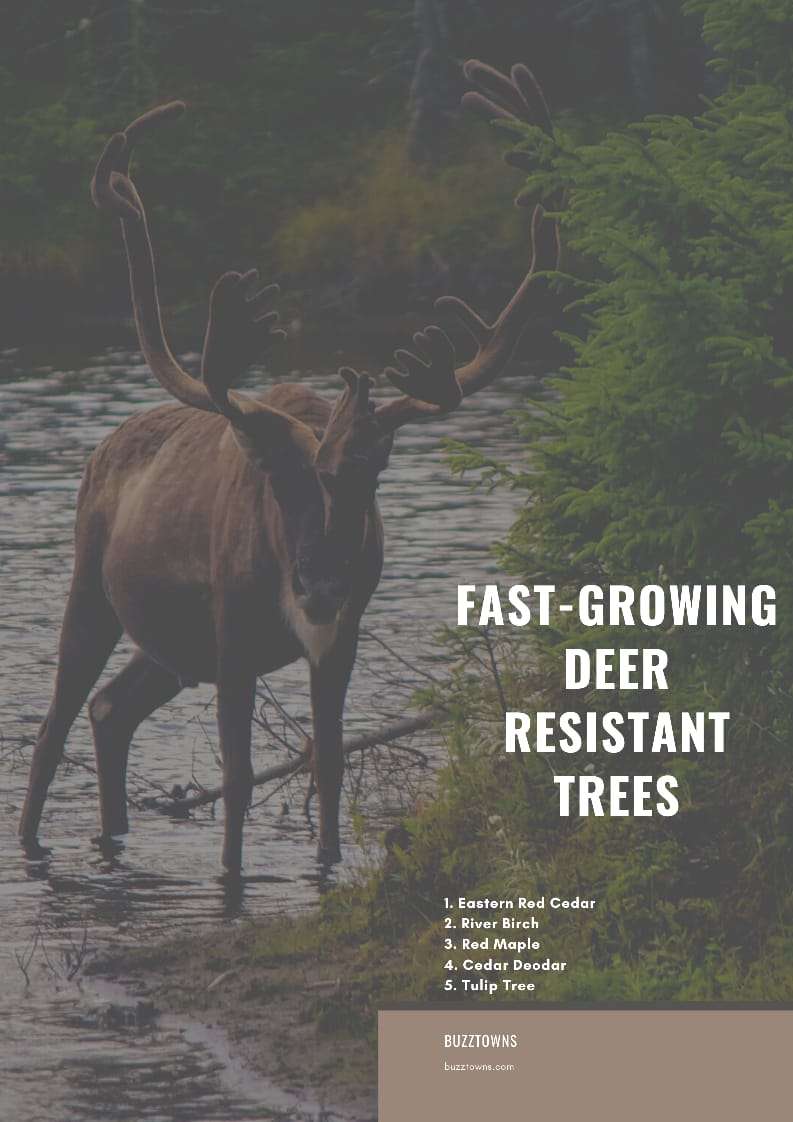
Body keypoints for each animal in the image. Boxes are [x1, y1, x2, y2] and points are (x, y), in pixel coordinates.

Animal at [18, 60, 559, 876]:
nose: (320, 581)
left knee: (110, 710)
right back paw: (33, 839)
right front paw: (231, 875)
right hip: (93, 590)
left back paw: (114, 836)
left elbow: (328, 761)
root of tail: (105, 448)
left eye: (372, 471)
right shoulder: (234, 633)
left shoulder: (343, 634)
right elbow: (240, 776)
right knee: (53, 727)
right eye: (273, 477)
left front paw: (328, 867)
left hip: (169, 645)